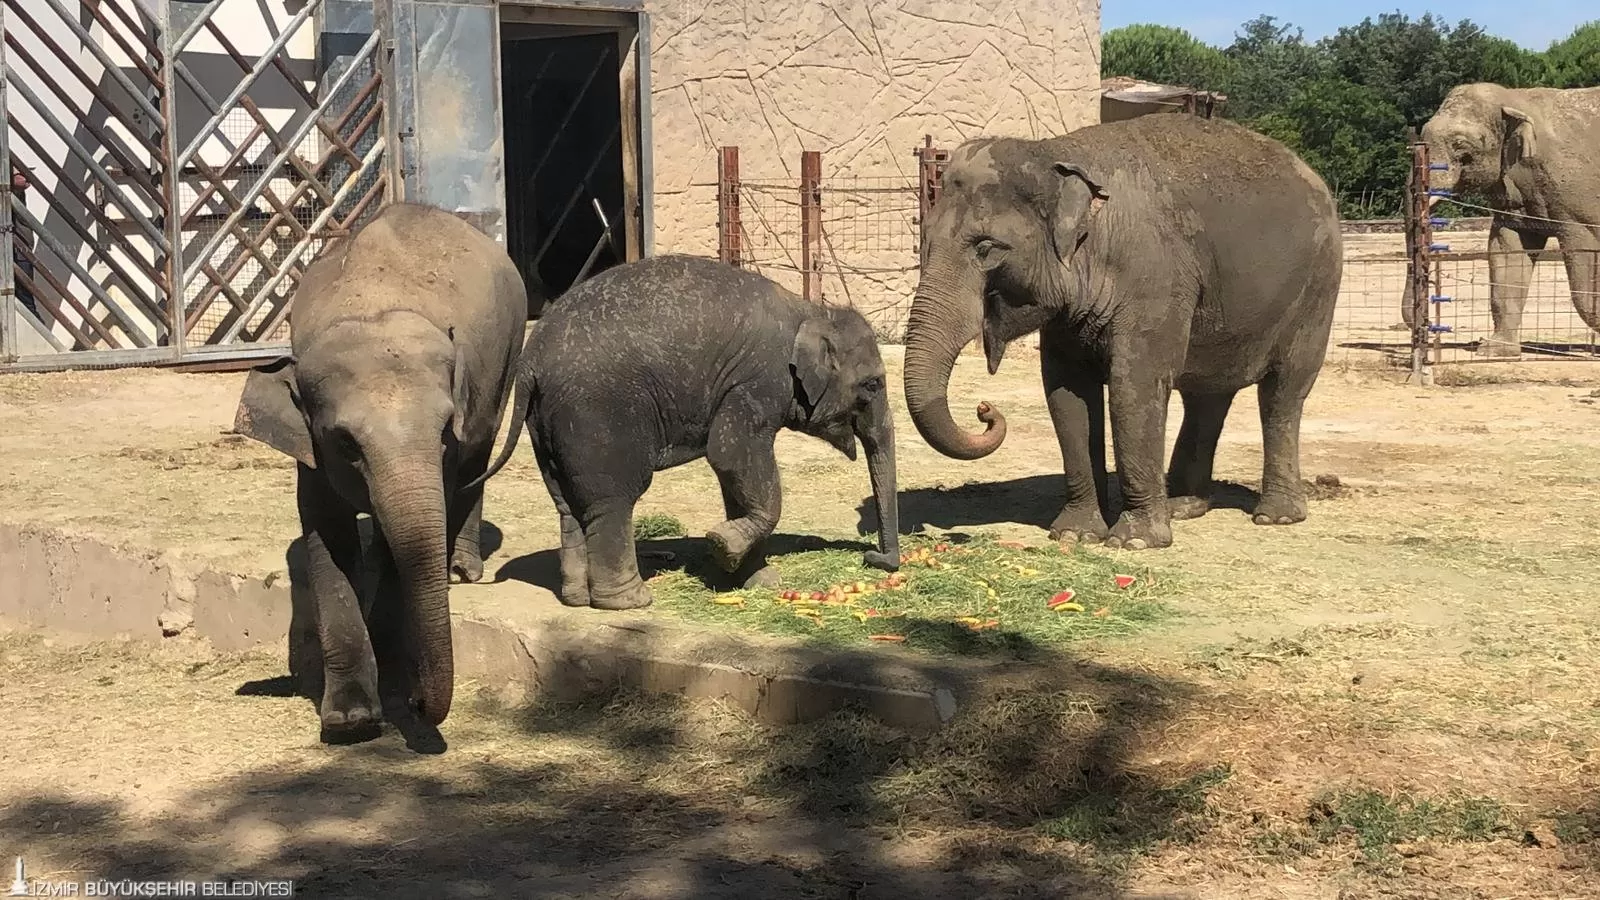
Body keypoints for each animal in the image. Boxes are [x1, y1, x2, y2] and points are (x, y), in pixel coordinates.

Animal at [232, 204, 524, 743]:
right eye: (346, 443)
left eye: (444, 430)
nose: (415, 702)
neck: (369, 308)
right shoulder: (312, 452)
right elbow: (328, 536)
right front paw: (350, 721)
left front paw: (390, 659)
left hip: (508, 355)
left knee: (480, 453)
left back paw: (459, 570)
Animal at [470, 248, 902, 605]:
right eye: (873, 384)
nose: (873, 557)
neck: (810, 309)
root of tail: (529, 361)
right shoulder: (757, 382)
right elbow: (731, 455)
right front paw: (722, 544)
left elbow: (733, 473)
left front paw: (754, 579)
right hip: (596, 414)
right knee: (613, 500)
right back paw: (630, 601)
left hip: (545, 424)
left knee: (568, 505)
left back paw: (577, 599)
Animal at [908, 112, 1344, 547]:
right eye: (924, 242)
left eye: (986, 248)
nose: (984, 409)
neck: (1053, 151)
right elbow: (1067, 392)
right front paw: (1075, 535)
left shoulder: (1155, 277)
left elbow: (1134, 386)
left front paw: (1134, 541)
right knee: (1207, 397)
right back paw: (1183, 507)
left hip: (1318, 291)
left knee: (1283, 392)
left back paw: (1276, 516)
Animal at [1401, 80, 1600, 353]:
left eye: (1461, 148)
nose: (1428, 327)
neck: (1515, 97)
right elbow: (1506, 249)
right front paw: (1494, 349)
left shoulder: (1578, 198)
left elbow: (1584, 249)